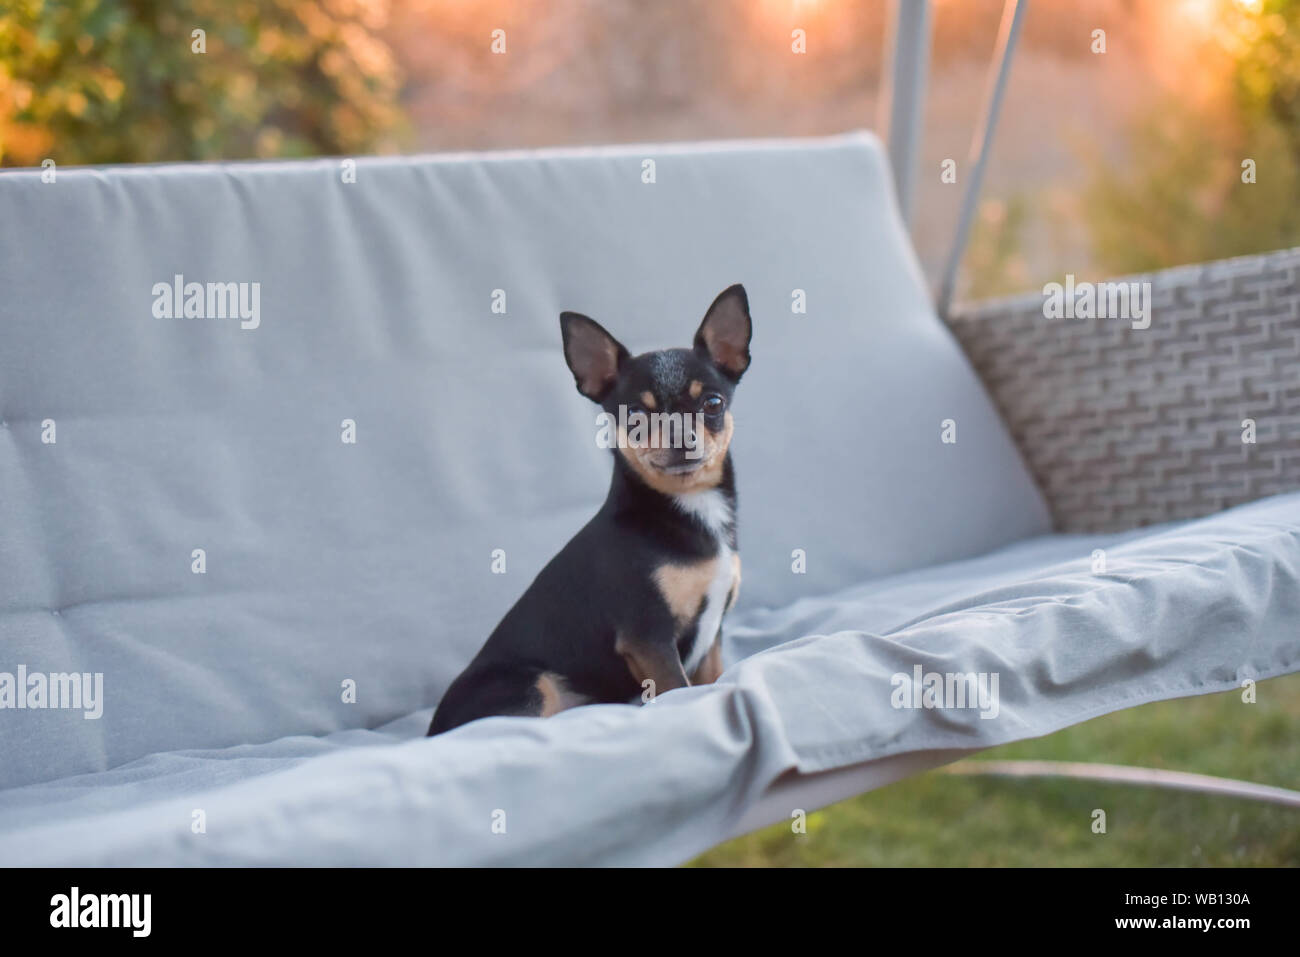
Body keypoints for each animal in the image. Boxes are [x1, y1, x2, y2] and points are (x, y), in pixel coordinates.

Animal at [428, 283, 754, 733]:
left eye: (713, 404)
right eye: (635, 415)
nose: (681, 436)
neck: (688, 506)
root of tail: (430, 734)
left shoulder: (711, 635)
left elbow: (714, 677)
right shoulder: (649, 637)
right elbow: (680, 689)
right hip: (534, 684)